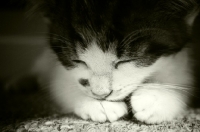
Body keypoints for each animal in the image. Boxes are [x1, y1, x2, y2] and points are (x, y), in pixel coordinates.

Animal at [30, 0, 199, 124]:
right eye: (77, 60)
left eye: (127, 60)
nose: (101, 94)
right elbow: (58, 84)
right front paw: (96, 104)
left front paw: (157, 97)